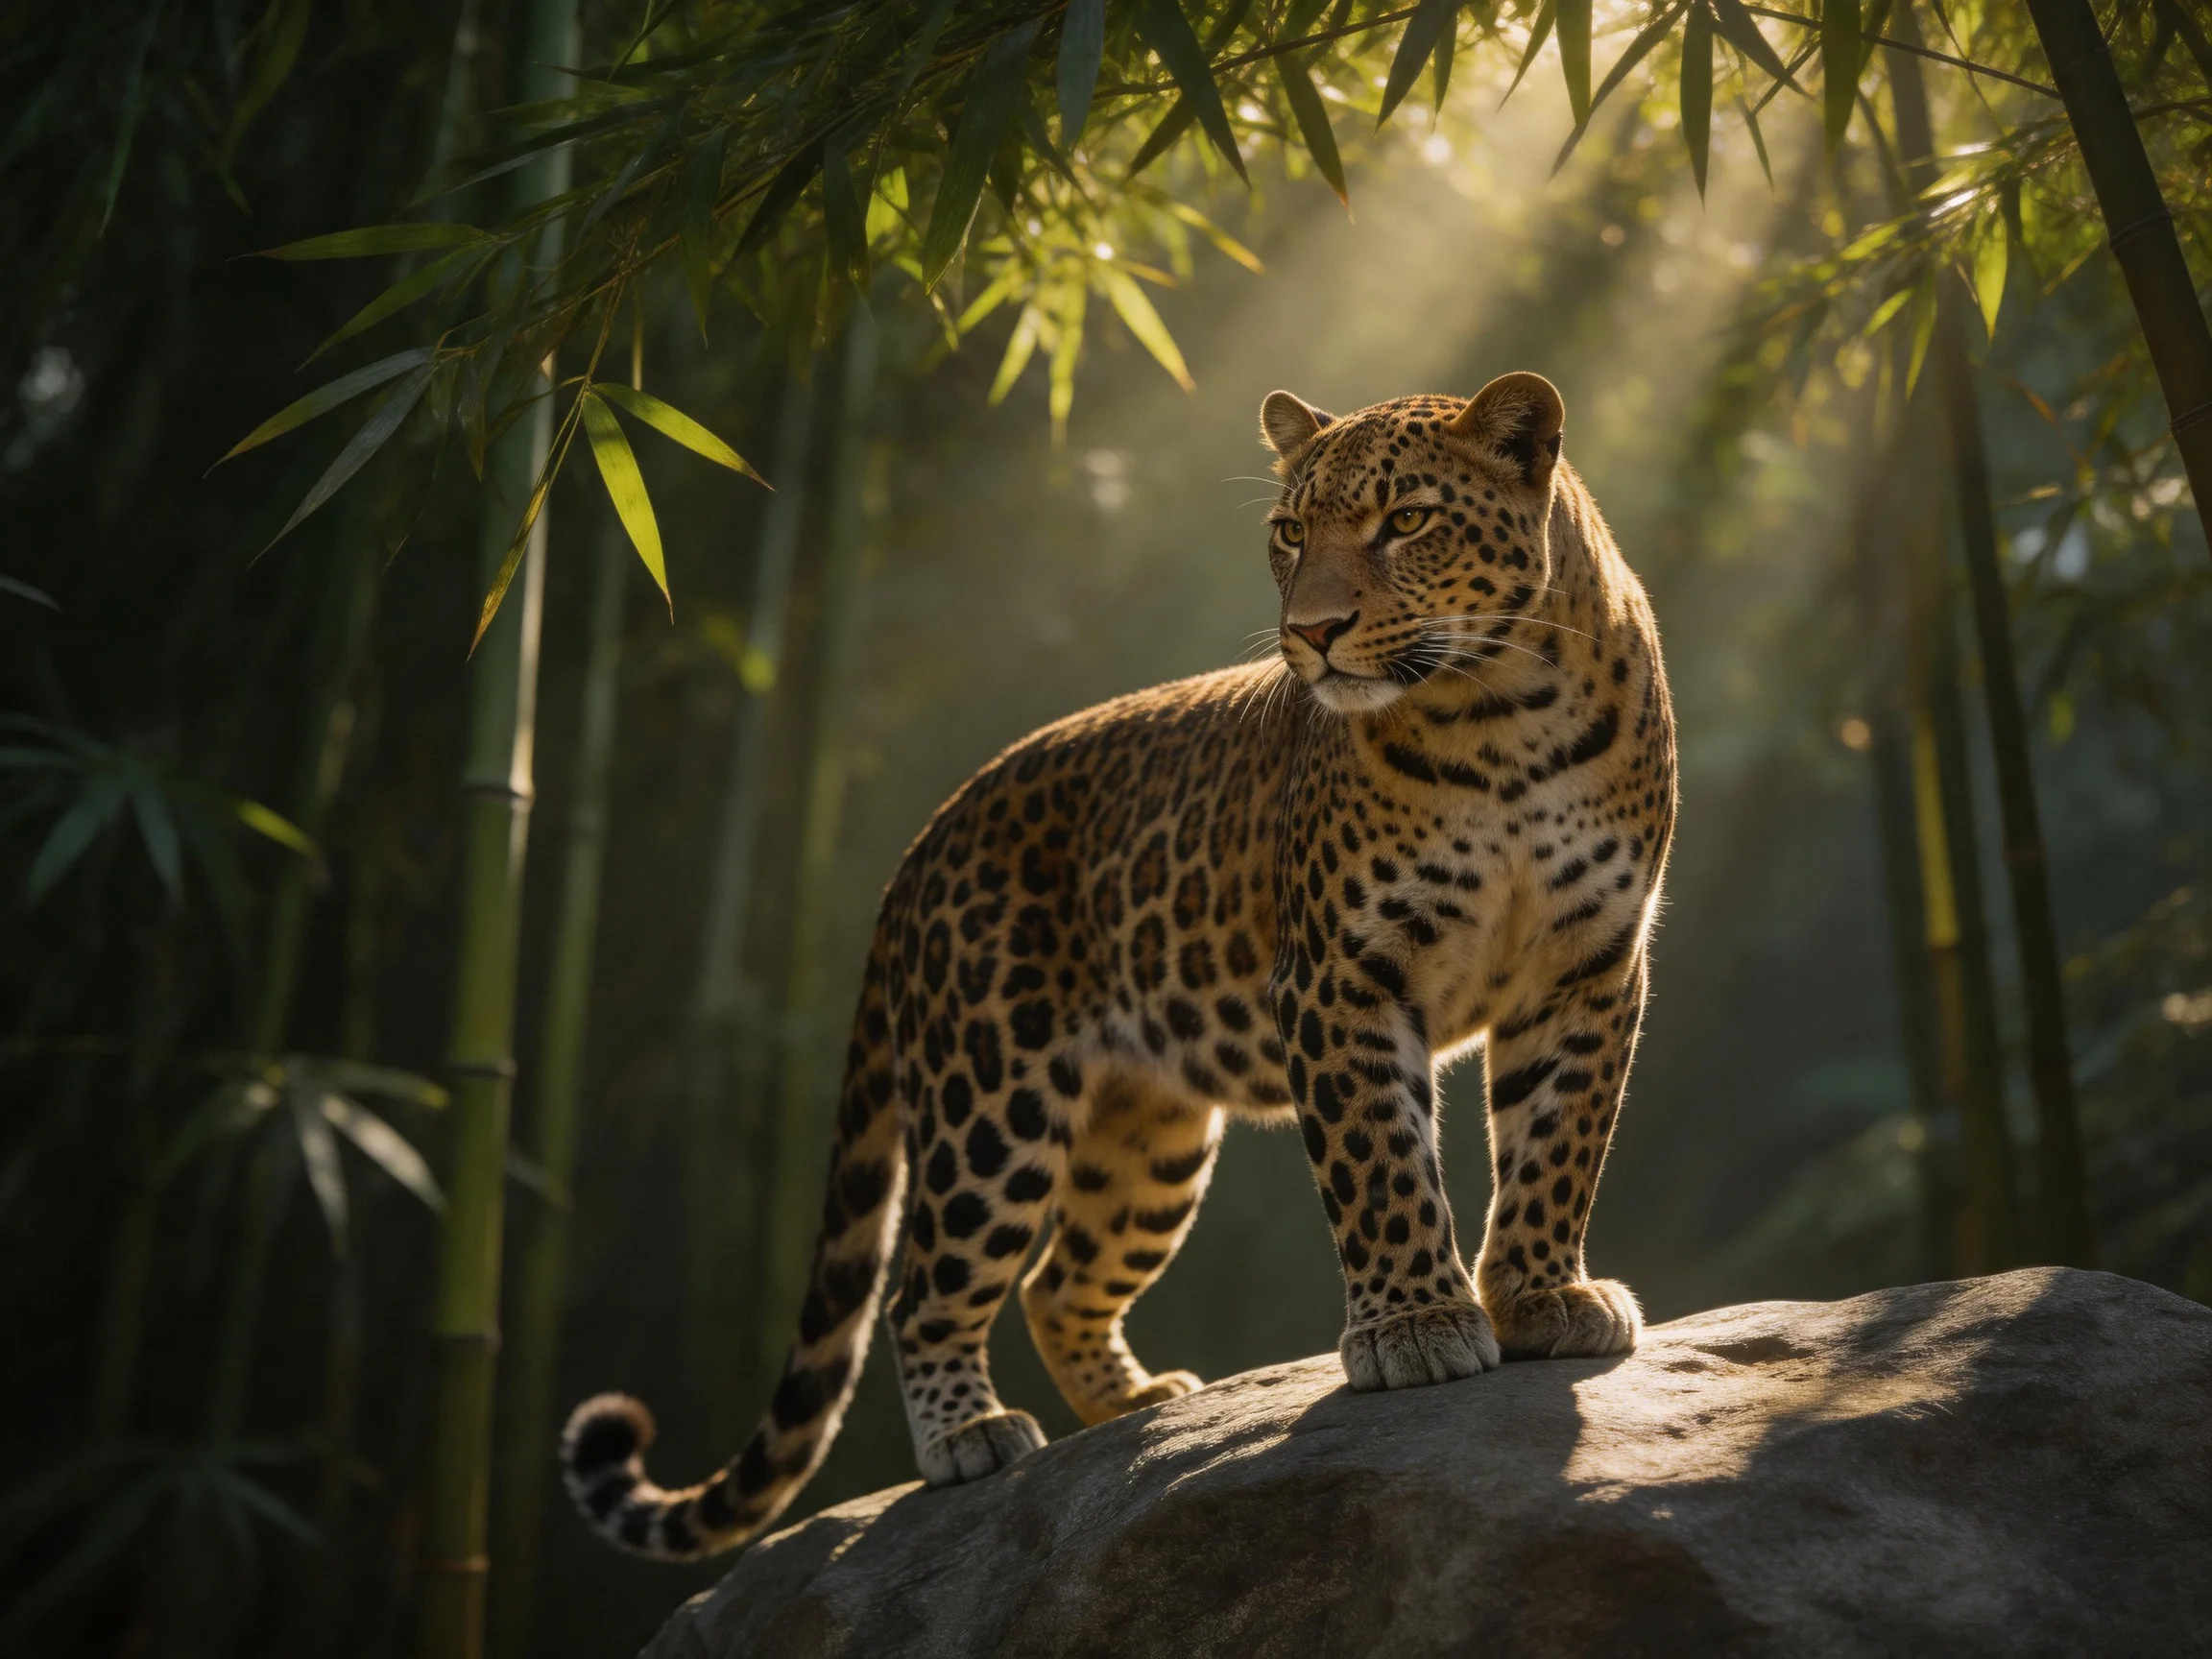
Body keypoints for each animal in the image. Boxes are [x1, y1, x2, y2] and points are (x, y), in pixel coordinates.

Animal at [560, 371, 1677, 1560]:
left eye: (1408, 521)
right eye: (1291, 533)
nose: (1313, 633)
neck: (1503, 712)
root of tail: (916, 851)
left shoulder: (1590, 965)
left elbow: (1558, 1143)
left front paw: (1543, 1297)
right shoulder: (1341, 975)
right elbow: (1381, 1163)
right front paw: (1417, 1324)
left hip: (1151, 1136)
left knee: (1059, 1283)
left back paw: (1140, 1410)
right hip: (989, 1100)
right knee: (927, 1290)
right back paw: (971, 1436)